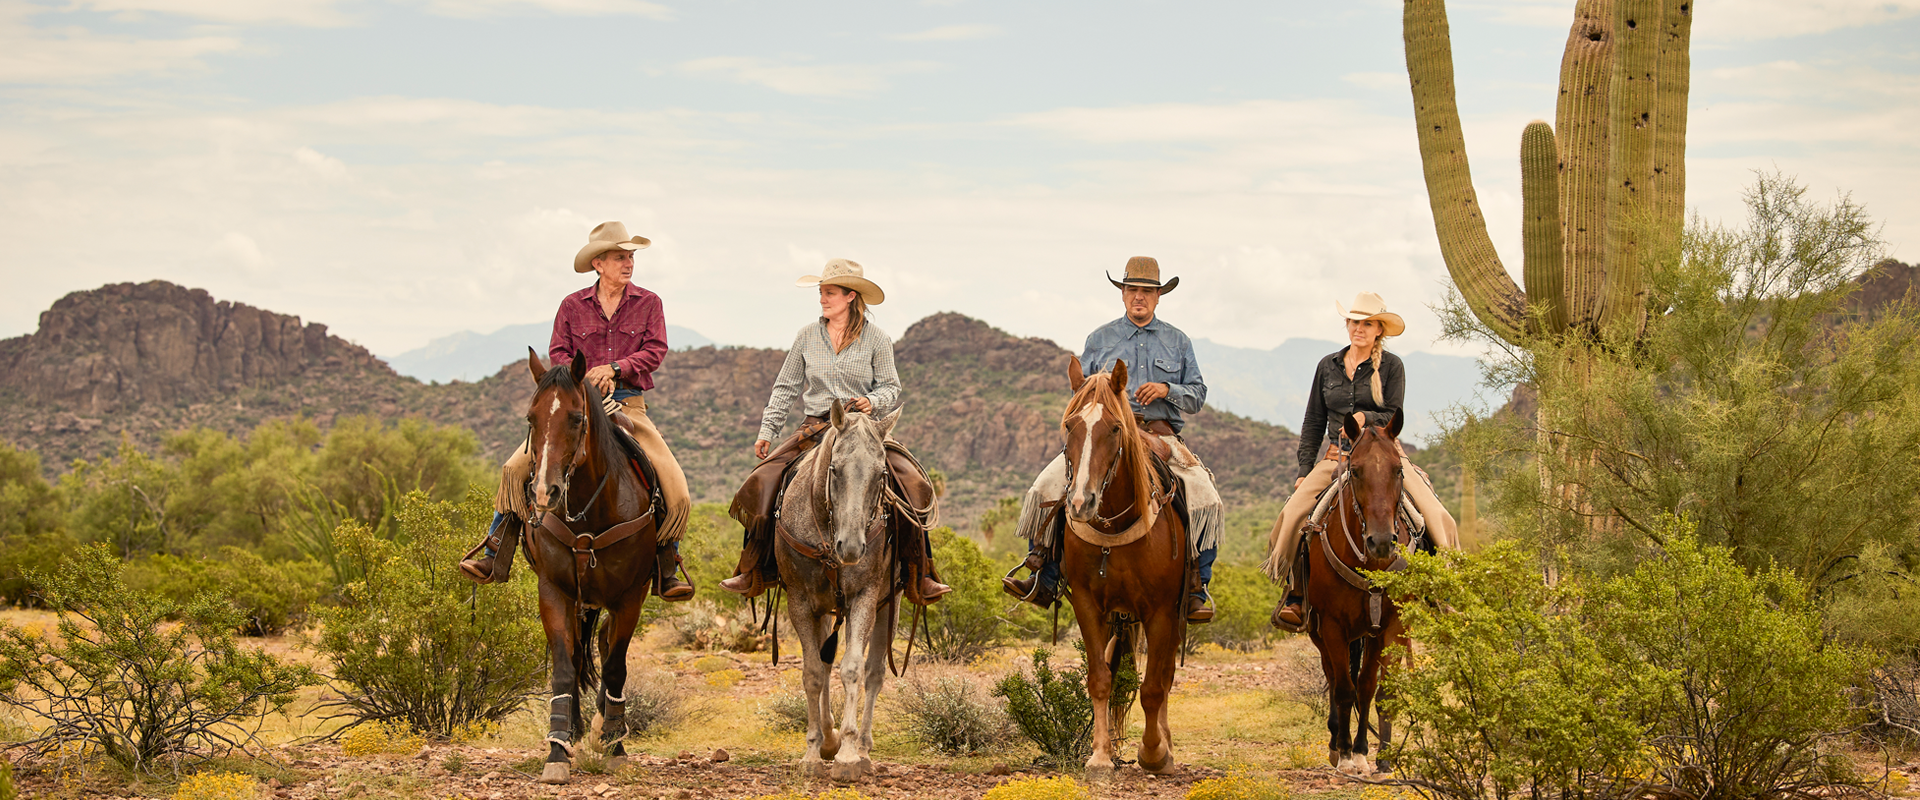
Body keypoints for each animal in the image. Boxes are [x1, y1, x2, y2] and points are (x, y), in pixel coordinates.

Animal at [522, 347, 672, 778]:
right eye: (531, 418)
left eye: (576, 418)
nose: (545, 492)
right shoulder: (553, 591)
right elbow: (563, 665)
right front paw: (557, 748)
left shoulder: (630, 597)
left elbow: (616, 665)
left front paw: (615, 743)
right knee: (578, 653)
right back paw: (575, 729)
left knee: (605, 650)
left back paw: (604, 728)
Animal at [771, 402, 906, 775]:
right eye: (835, 470)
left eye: (880, 475)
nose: (852, 547)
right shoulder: (801, 603)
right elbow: (814, 673)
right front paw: (814, 751)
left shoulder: (864, 598)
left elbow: (853, 669)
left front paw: (846, 754)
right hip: (826, 610)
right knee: (825, 663)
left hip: (889, 605)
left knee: (874, 673)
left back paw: (862, 749)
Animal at [1052, 354, 1182, 775]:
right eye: (1070, 426)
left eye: (1114, 427)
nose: (1081, 503)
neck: (1115, 526)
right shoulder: (1088, 606)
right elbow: (1100, 678)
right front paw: (1099, 755)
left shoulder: (1161, 611)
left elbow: (1153, 686)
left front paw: (1154, 752)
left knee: (1165, 677)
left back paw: (1166, 745)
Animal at [1297, 410, 1420, 775]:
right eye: (1355, 471)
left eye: (1398, 470)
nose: (1380, 541)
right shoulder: (1333, 626)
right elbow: (1343, 690)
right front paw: (1347, 755)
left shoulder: (1392, 626)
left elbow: (1373, 689)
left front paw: (1377, 757)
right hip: (1321, 632)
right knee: (1333, 676)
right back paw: (1336, 742)